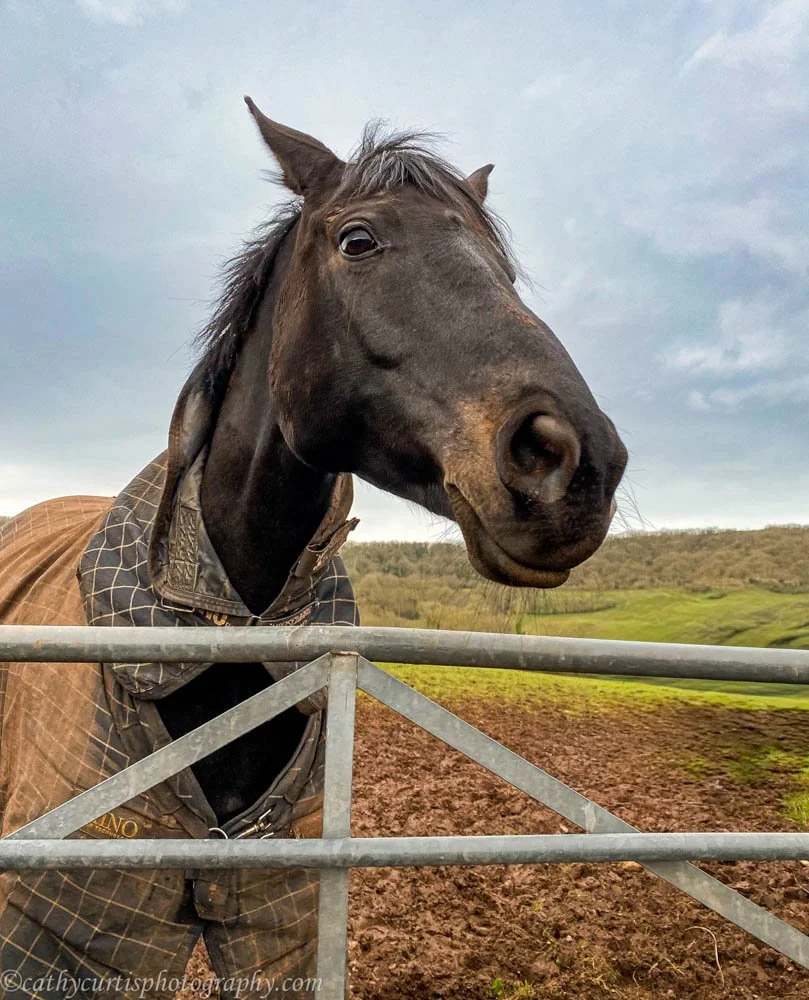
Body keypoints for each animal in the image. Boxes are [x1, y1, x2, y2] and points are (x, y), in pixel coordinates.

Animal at [0, 97, 627, 998]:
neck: (220, 626)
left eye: (504, 270)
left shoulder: (281, 919)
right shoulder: (65, 937)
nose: (577, 465)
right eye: (357, 240)